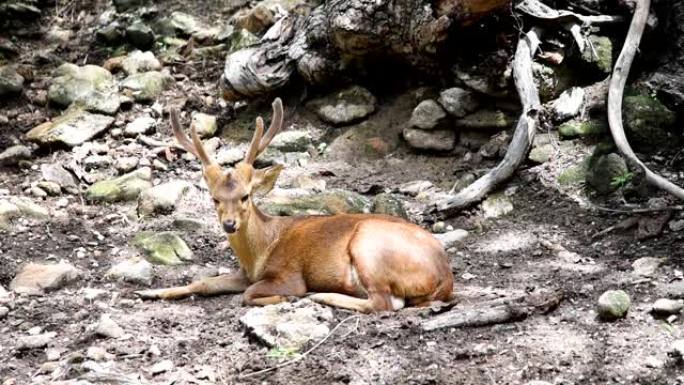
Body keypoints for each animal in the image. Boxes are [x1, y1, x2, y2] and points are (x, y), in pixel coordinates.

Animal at [135, 97, 454, 310]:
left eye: (246, 195)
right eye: (214, 198)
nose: (229, 224)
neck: (260, 252)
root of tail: (445, 276)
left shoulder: (287, 273)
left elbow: (248, 295)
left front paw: (287, 297)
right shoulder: (244, 274)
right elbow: (202, 283)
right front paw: (149, 293)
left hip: (370, 247)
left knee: (383, 303)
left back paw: (320, 295)